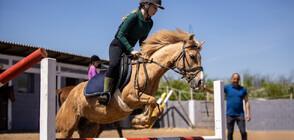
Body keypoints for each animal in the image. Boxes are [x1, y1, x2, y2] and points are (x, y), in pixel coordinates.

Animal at [56, 28, 206, 138]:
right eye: (192, 56)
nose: (200, 82)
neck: (149, 71)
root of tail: (71, 92)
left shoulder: (140, 101)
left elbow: (158, 107)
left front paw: (140, 122)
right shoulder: (129, 97)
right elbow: (152, 102)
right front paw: (140, 121)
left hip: (88, 126)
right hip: (69, 126)